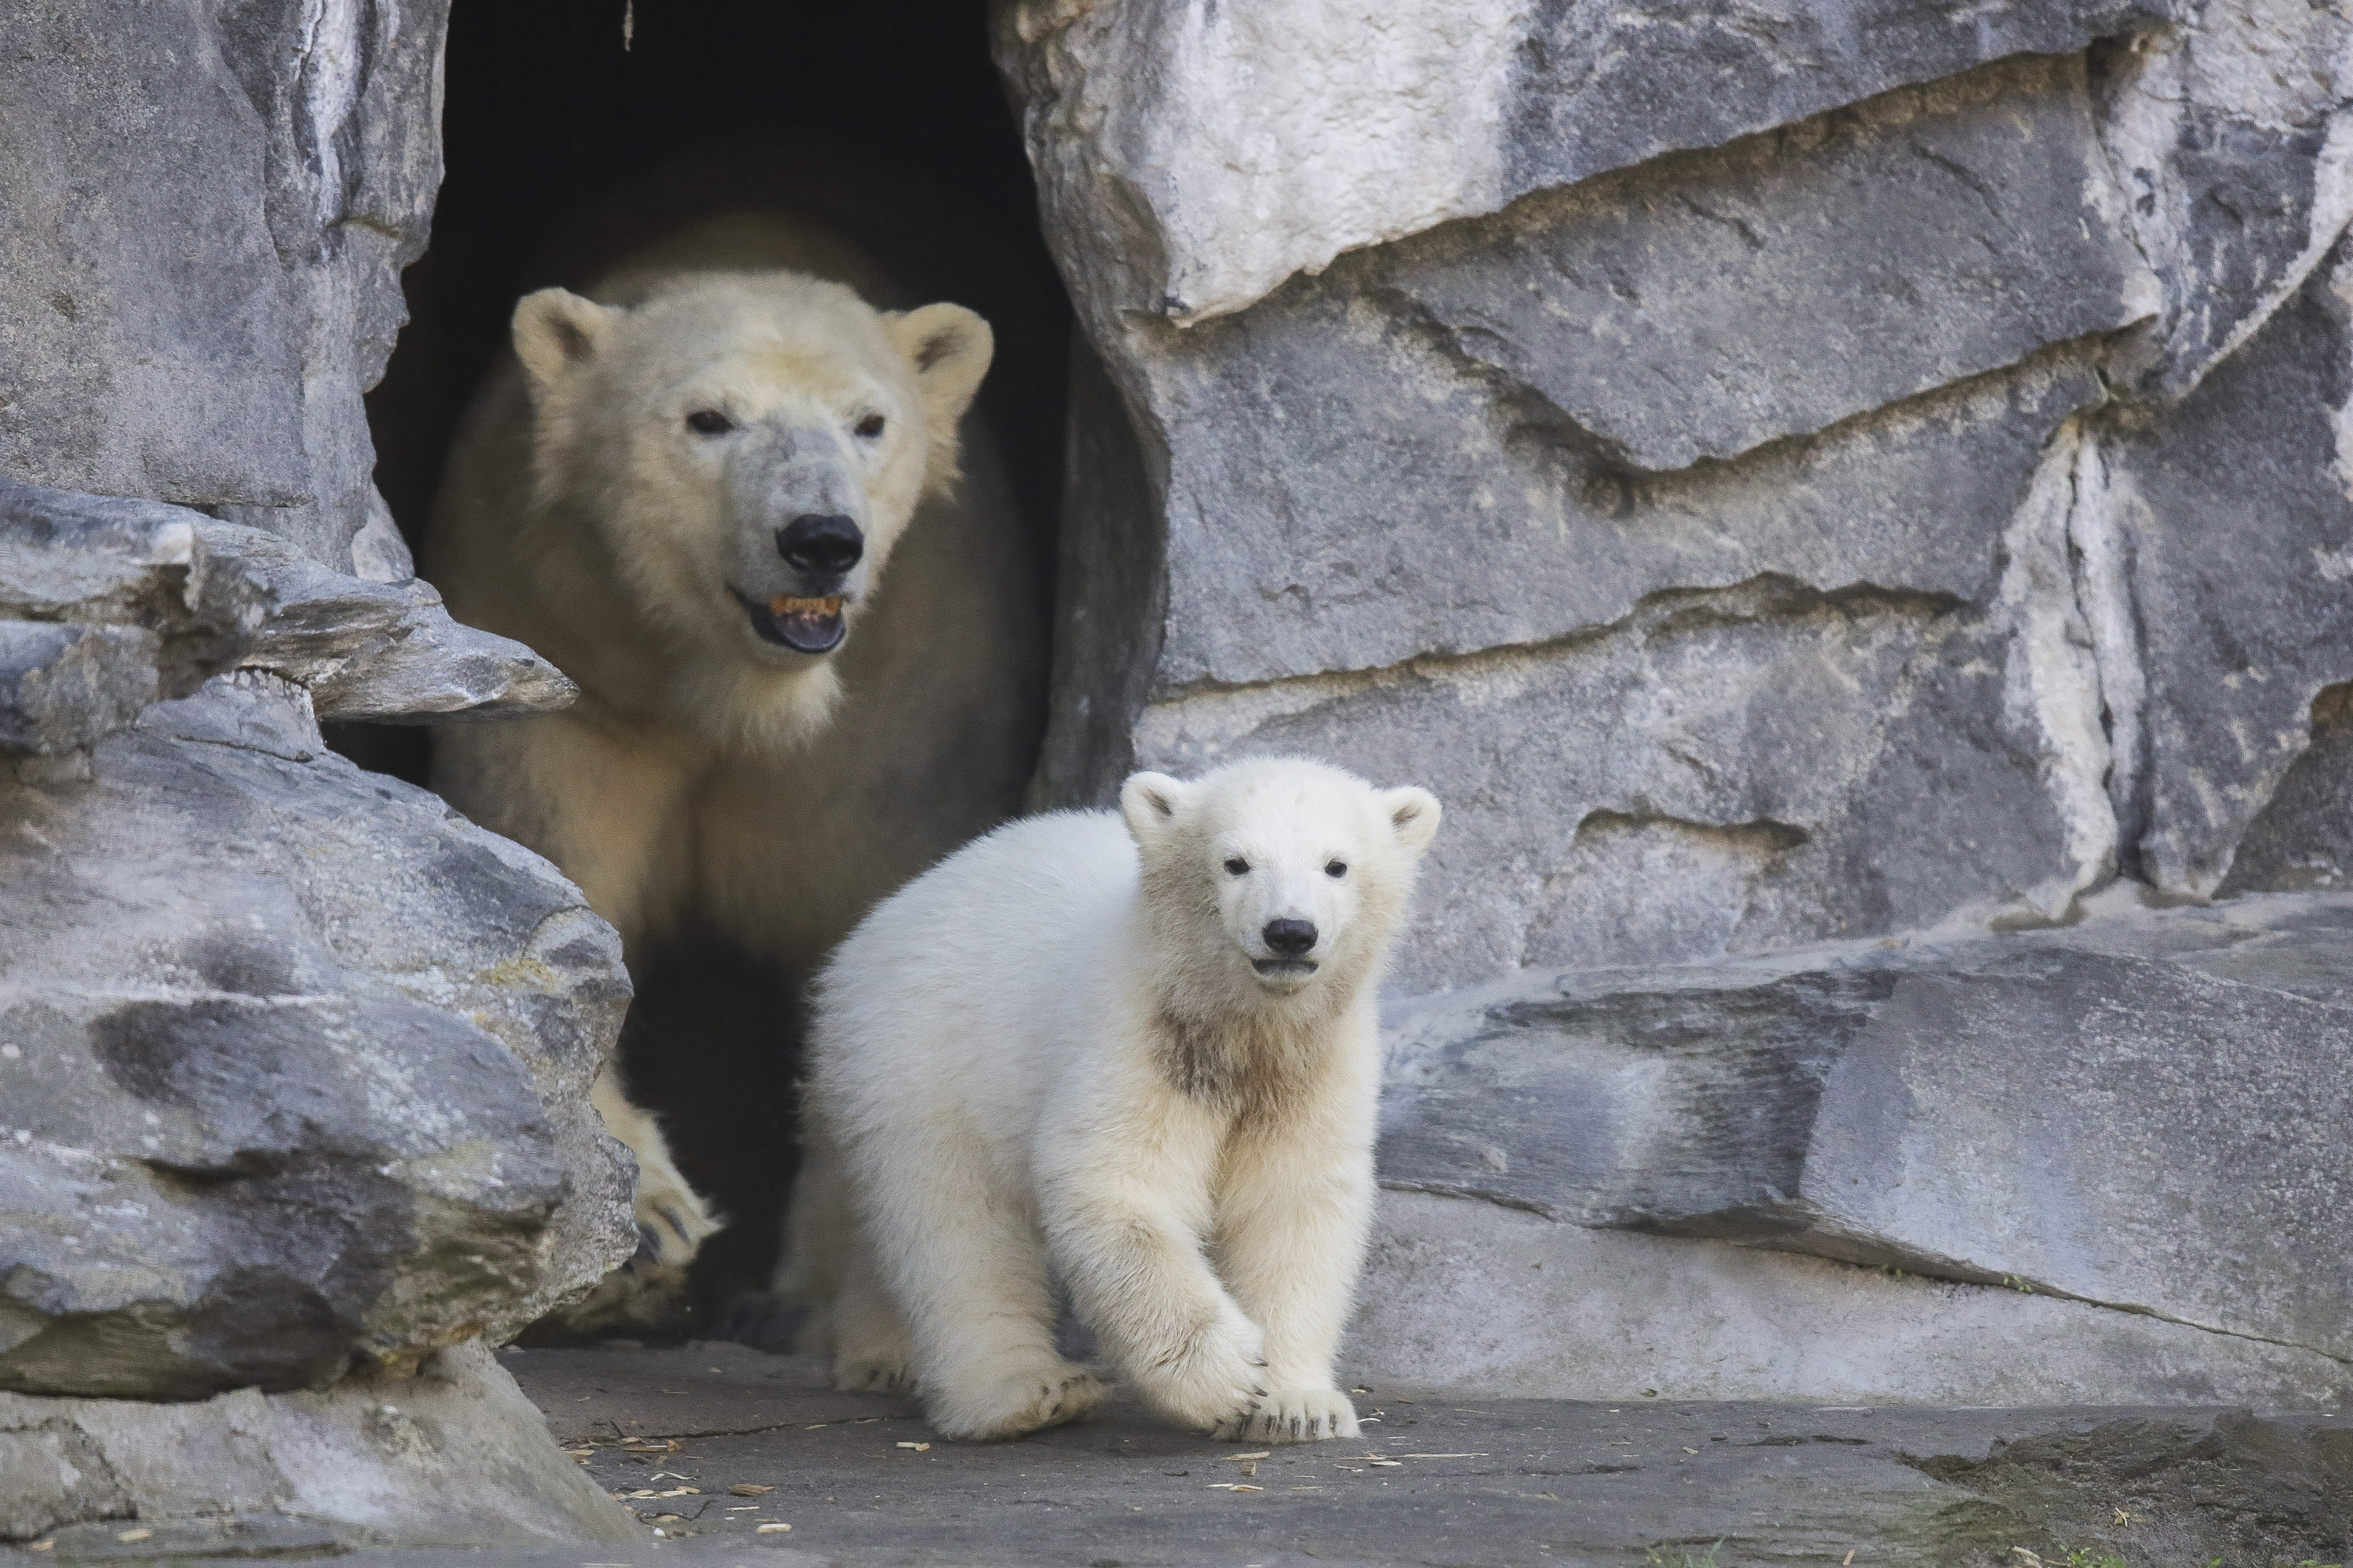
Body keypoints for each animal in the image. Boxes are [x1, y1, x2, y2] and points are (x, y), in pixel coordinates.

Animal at [425, 211, 1049, 1326]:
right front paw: (646, 1224)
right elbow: (556, 891)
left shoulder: (899, 720)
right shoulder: (555, 653)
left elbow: (879, 937)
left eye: (869, 422)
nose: (820, 541)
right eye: (707, 419)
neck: (730, 691)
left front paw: (836, 1283)